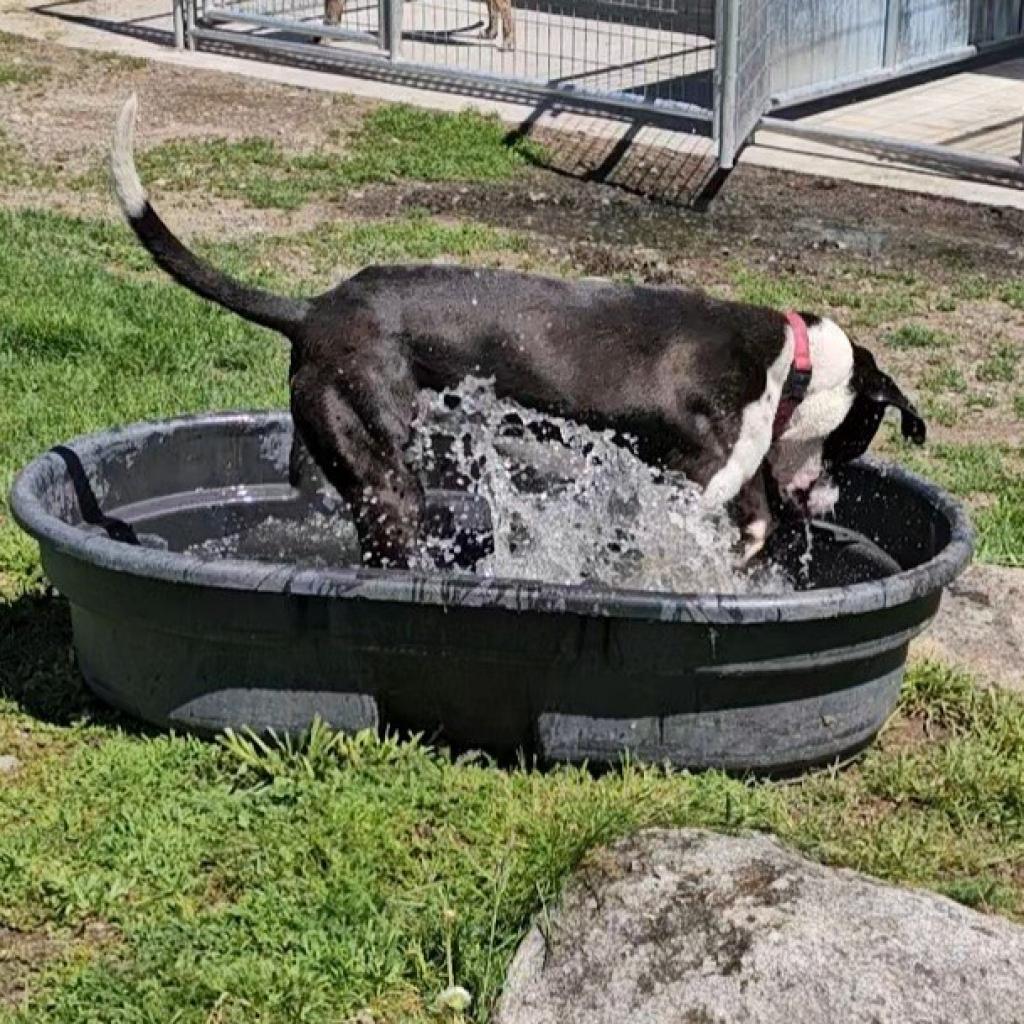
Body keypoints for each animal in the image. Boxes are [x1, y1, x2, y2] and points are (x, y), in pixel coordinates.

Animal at [112, 96, 929, 569]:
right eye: (858, 439)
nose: (829, 504)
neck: (791, 363)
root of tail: (313, 308)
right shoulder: (703, 469)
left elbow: (753, 518)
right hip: (385, 475)